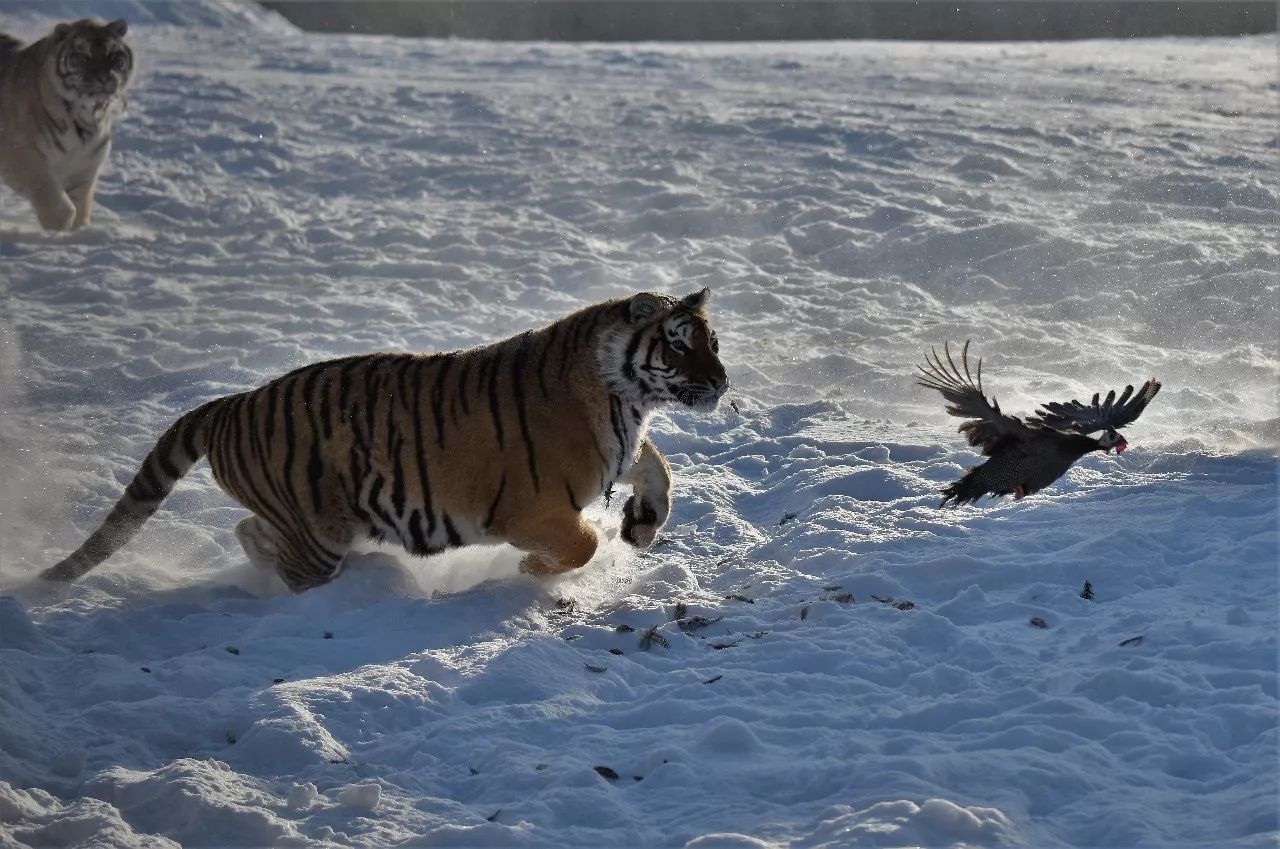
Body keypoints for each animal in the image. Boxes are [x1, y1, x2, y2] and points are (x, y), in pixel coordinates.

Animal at [0, 19, 133, 230]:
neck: (88, 117)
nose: (107, 77)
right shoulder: (18, 152)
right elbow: (44, 185)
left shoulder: (85, 165)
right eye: (84, 57)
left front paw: (80, 230)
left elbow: (82, 202)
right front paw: (59, 222)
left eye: (113, 56)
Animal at [42, 289, 732, 594]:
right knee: (292, 571)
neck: (624, 399)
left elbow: (659, 470)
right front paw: (530, 572)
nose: (722, 380)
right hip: (318, 530)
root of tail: (228, 404)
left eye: (712, 340)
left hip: (311, 519)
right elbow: (581, 543)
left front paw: (640, 527)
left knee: (250, 534)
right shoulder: (529, 509)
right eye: (677, 344)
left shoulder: (624, 449)